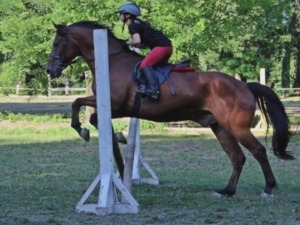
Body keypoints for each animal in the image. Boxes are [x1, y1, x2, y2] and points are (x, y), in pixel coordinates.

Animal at [45, 20, 294, 197]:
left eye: (57, 44)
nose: (50, 70)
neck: (112, 61)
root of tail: (244, 85)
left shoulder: (115, 104)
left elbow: (78, 103)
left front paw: (83, 130)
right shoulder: (115, 107)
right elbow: (92, 116)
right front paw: (116, 140)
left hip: (237, 127)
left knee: (258, 151)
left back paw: (268, 188)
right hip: (219, 126)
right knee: (238, 157)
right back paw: (227, 191)